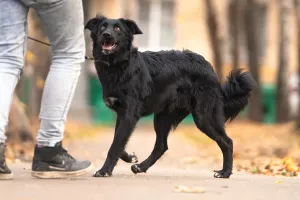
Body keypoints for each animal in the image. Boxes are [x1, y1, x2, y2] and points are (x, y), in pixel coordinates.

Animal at [85, 14, 255, 179]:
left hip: (203, 117)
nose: (106, 35)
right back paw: (141, 167)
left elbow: (115, 145)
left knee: (227, 142)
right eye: (102, 27)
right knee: (161, 146)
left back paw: (225, 172)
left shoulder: (129, 114)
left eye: (118, 29)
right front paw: (129, 157)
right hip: (162, 117)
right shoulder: (121, 114)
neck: (118, 65)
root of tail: (209, 67)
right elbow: (119, 142)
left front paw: (104, 171)